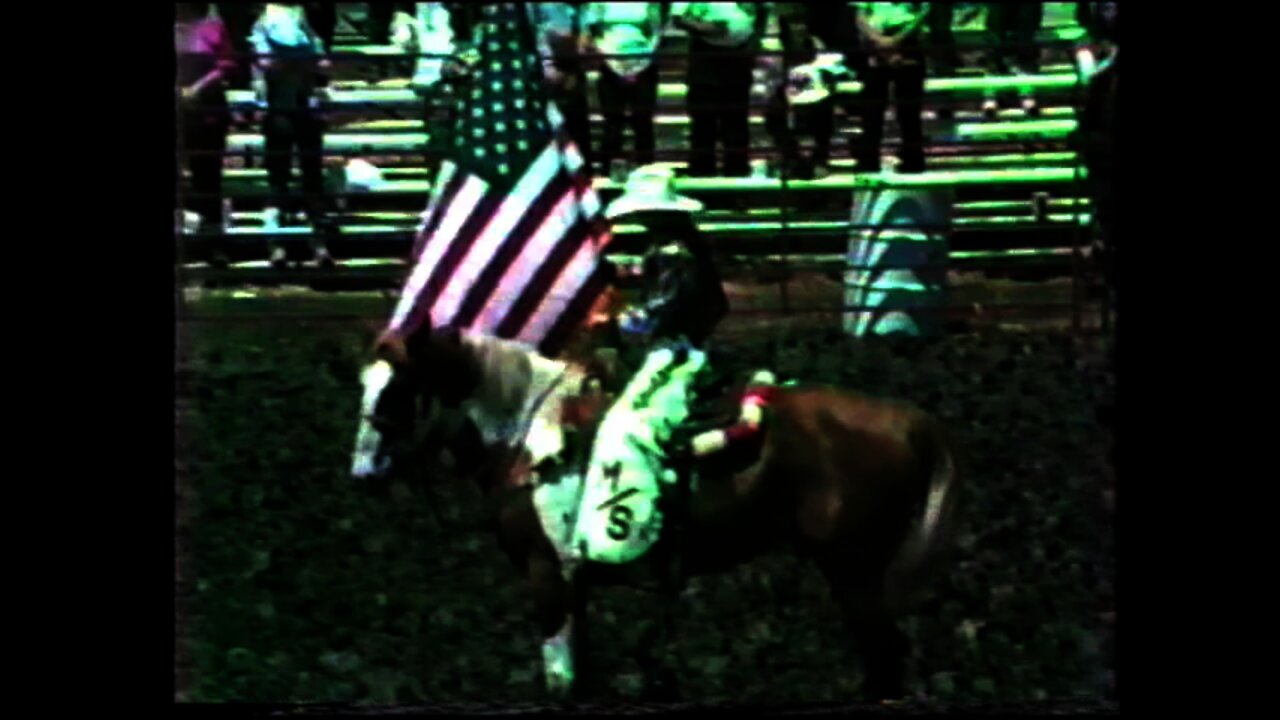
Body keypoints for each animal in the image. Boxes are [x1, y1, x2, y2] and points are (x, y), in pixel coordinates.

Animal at [350, 325, 962, 702]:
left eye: (397, 393)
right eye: (365, 387)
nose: (364, 474)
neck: (531, 435)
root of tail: (911, 420)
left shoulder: (548, 578)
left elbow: (560, 679)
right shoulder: (576, 586)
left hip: (852, 573)